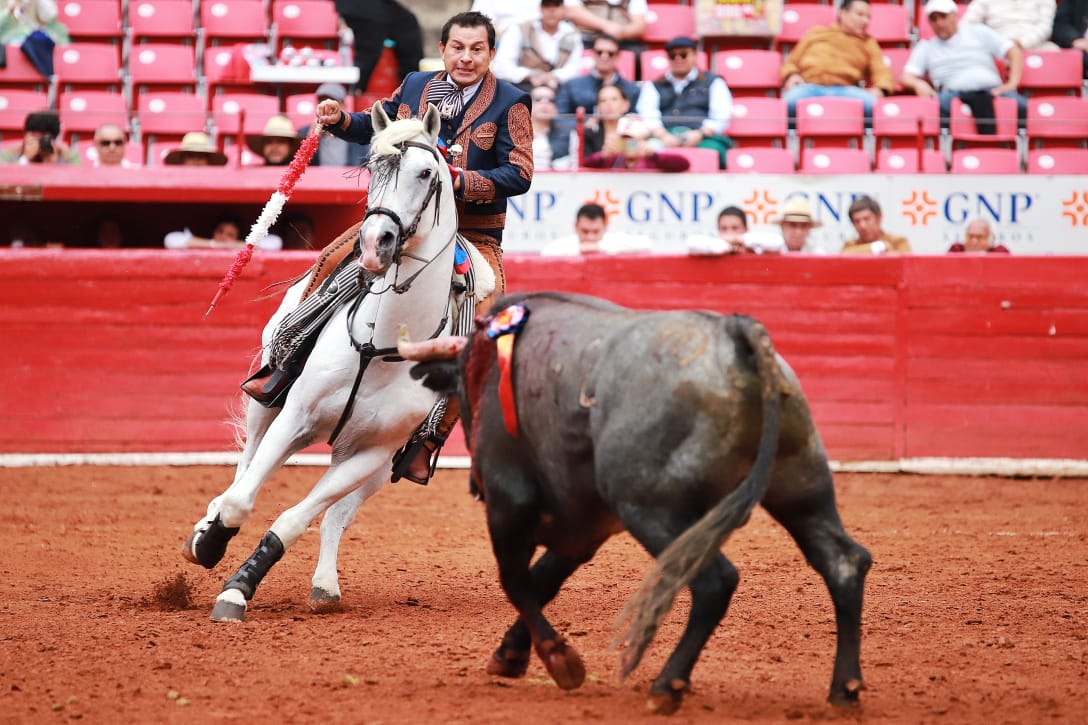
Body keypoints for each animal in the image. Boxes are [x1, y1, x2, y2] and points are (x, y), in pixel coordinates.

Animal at [181, 102, 459, 622]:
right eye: (373, 167)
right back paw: (206, 525)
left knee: (335, 515)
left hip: (374, 462)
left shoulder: (373, 451)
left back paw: (325, 585)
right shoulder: (296, 414)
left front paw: (238, 589)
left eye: (426, 172)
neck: (382, 343)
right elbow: (241, 500)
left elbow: (299, 518)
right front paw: (210, 545)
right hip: (268, 400)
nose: (375, 243)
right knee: (244, 465)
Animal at [404, 291, 870, 714]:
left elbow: (517, 581)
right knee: (843, 561)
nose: (473, 484)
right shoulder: (584, 527)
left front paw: (559, 660)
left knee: (714, 581)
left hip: (653, 512)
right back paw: (844, 689)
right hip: (800, 484)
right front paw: (510, 654)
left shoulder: (509, 504)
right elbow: (543, 580)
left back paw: (667, 685)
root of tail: (732, 332)